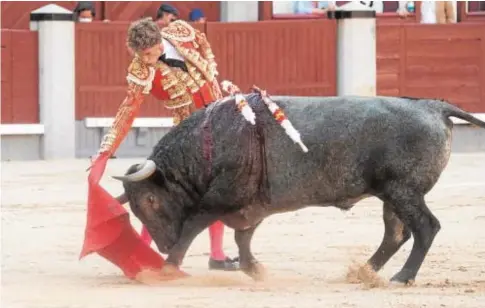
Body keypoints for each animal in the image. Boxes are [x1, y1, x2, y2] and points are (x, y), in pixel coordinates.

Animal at [111, 92, 484, 286]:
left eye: (150, 200)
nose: (162, 245)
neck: (209, 142)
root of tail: (433, 106)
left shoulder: (220, 199)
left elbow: (192, 227)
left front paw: (167, 267)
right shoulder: (253, 204)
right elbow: (243, 237)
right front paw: (254, 269)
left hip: (403, 191)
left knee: (425, 228)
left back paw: (402, 277)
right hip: (392, 195)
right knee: (396, 234)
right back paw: (364, 272)